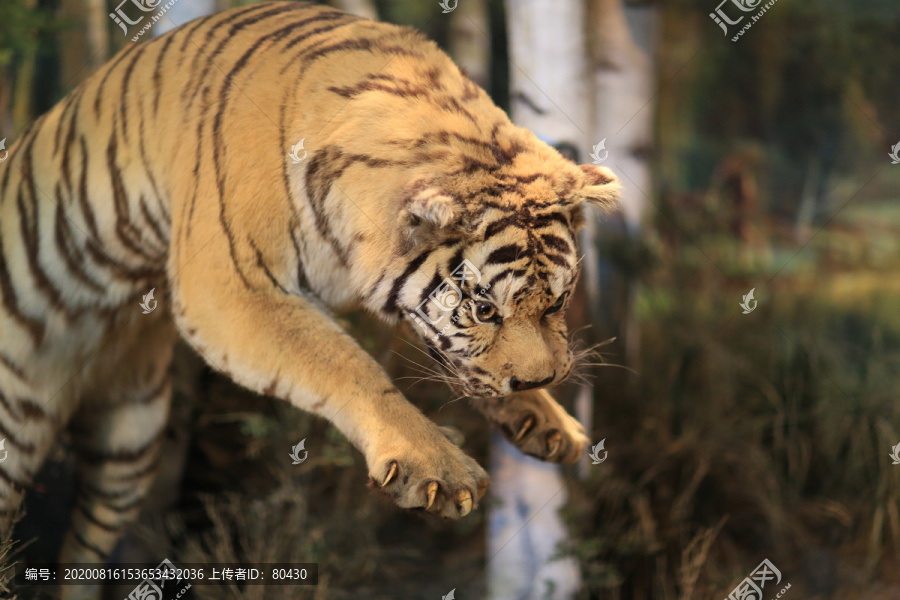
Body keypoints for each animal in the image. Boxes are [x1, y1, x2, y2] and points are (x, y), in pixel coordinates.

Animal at [0, 0, 620, 592]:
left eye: (557, 303)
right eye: (485, 310)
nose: (541, 381)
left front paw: (548, 421)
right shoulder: (230, 288)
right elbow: (345, 363)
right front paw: (439, 467)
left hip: (128, 444)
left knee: (81, 556)